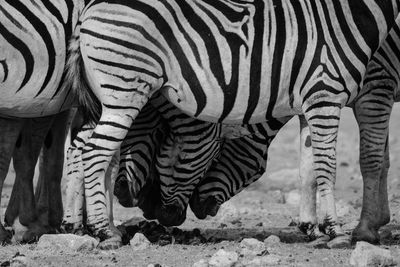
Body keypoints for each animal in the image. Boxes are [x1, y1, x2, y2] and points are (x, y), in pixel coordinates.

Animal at [61, 0, 400, 249]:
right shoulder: (331, 93)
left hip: (105, 97)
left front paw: (315, 229)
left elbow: (310, 169)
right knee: (95, 153)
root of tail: (88, 9)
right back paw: (105, 233)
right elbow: (333, 164)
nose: (162, 215)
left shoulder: (310, 102)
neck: (346, 17)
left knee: (94, 152)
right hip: (126, 89)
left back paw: (97, 227)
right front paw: (339, 231)